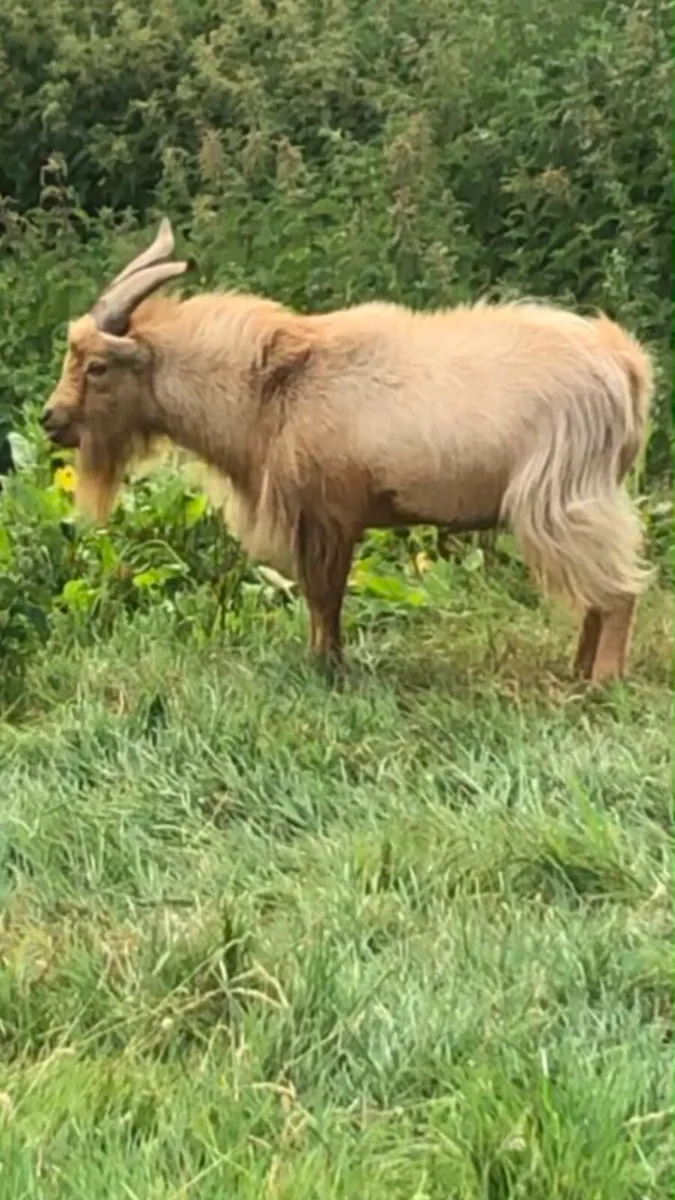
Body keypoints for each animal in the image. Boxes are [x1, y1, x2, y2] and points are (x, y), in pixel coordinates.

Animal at [42, 217, 654, 682]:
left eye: (96, 366)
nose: (51, 420)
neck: (269, 387)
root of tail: (625, 365)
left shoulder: (328, 513)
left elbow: (324, 596)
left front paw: (325, 668)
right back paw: (577, 673)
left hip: (562, 496)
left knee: (617, 592)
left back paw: (601, 683)